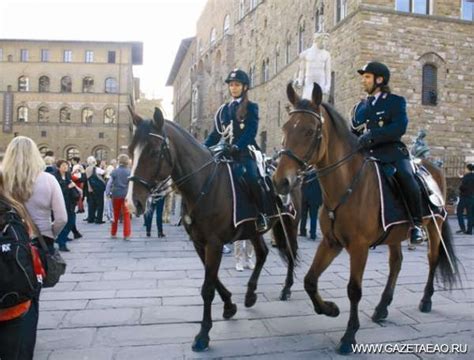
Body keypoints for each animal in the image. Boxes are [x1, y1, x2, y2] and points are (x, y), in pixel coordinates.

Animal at [127, 106, 300, 352]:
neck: (204, 184)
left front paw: (203, 335)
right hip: (253, 229)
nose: (133, 203)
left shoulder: (215, 243)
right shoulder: (200, 242)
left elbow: (207, 288)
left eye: (153, 151)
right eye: (131, 150)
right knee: (263, 253)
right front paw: (229, 305)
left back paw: (286, 289)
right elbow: (213, 279)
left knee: (291, 253)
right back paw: (250, 294)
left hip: (290, 222)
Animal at [272, 82, 462, 354]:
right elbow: (309, 280)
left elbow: (354, 290)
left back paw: (426, 299)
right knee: (396, 262)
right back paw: (382, 307)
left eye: (309, 131)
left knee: (433, 258)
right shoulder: (331, 242)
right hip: (395, 232)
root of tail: (433, 166)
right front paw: (329, 309)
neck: (347, 184)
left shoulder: (359, 247)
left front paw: (349, 335)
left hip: (434, 225)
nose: (280, 181)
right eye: (286, 128)